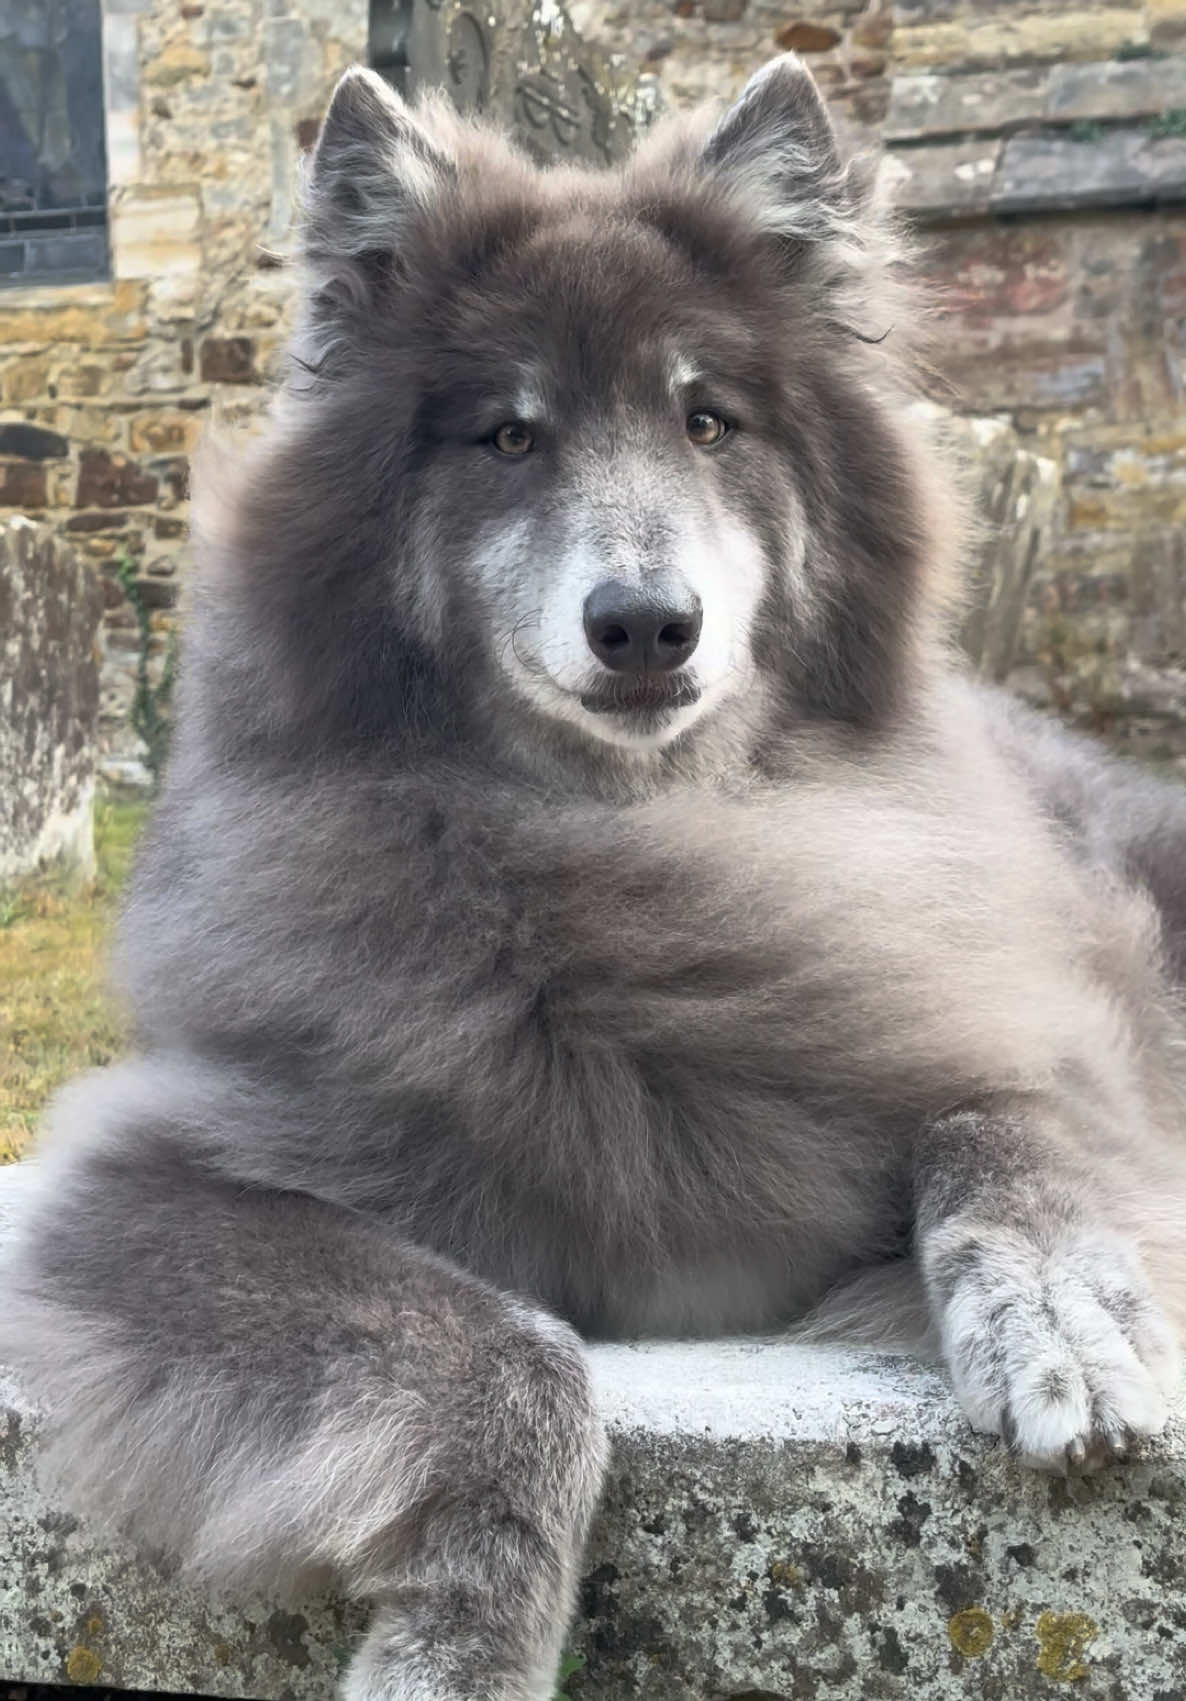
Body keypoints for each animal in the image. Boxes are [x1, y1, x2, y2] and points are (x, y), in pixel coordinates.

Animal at [4, 52, 1186, 1701]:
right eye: (508, 436)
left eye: (707, 422)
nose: (643, 626)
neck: (635, 852)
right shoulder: (150, 1181)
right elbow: (508, 1353)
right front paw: (454, 1648)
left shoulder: (1010, 1040)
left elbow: (1014, 1130)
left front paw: (1062, 1311)